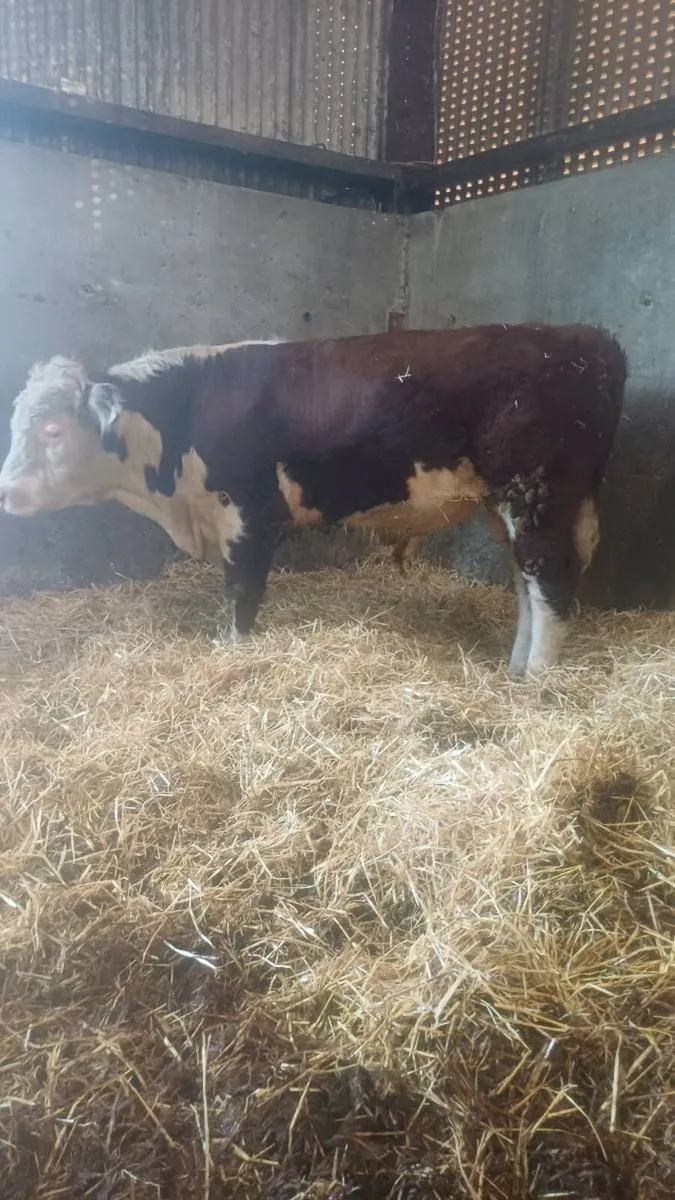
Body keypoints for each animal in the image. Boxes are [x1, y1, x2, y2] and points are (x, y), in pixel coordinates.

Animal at [0, 325, 627, 677]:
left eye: (52, 430)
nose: (6, 491)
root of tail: (589, 338)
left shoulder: (248, 515)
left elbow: (242, 597)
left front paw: (233, 650)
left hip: (538, 495)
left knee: (551, 589)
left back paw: (536, 684)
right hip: (507, 508)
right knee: (526, 587)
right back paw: (514, 671)